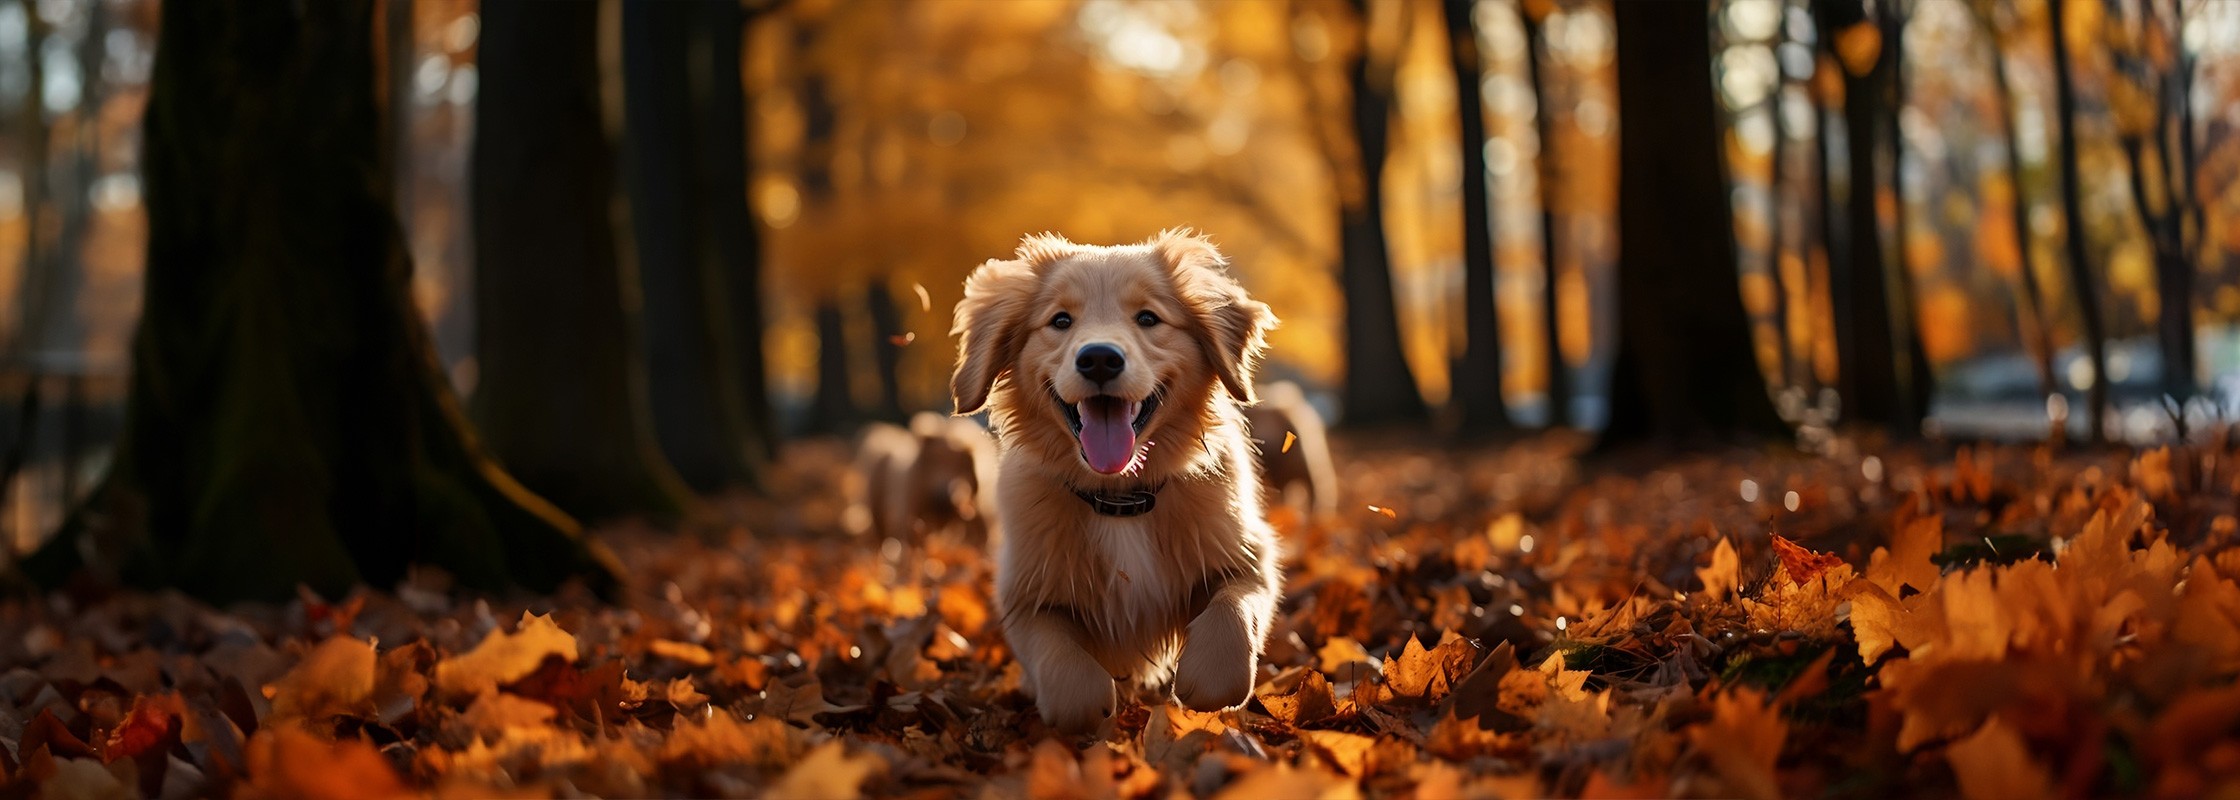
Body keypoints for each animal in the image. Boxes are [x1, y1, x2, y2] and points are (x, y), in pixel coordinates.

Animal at [954, 227, 1290, 730]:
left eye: (1148, 317)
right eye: (1060, 321)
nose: (1098, 359)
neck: (1120, 499)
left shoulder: (1250, 555)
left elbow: (1231, 619)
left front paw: (1200, 684)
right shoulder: (1024, 595)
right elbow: (1069, 678)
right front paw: (1094, 707)